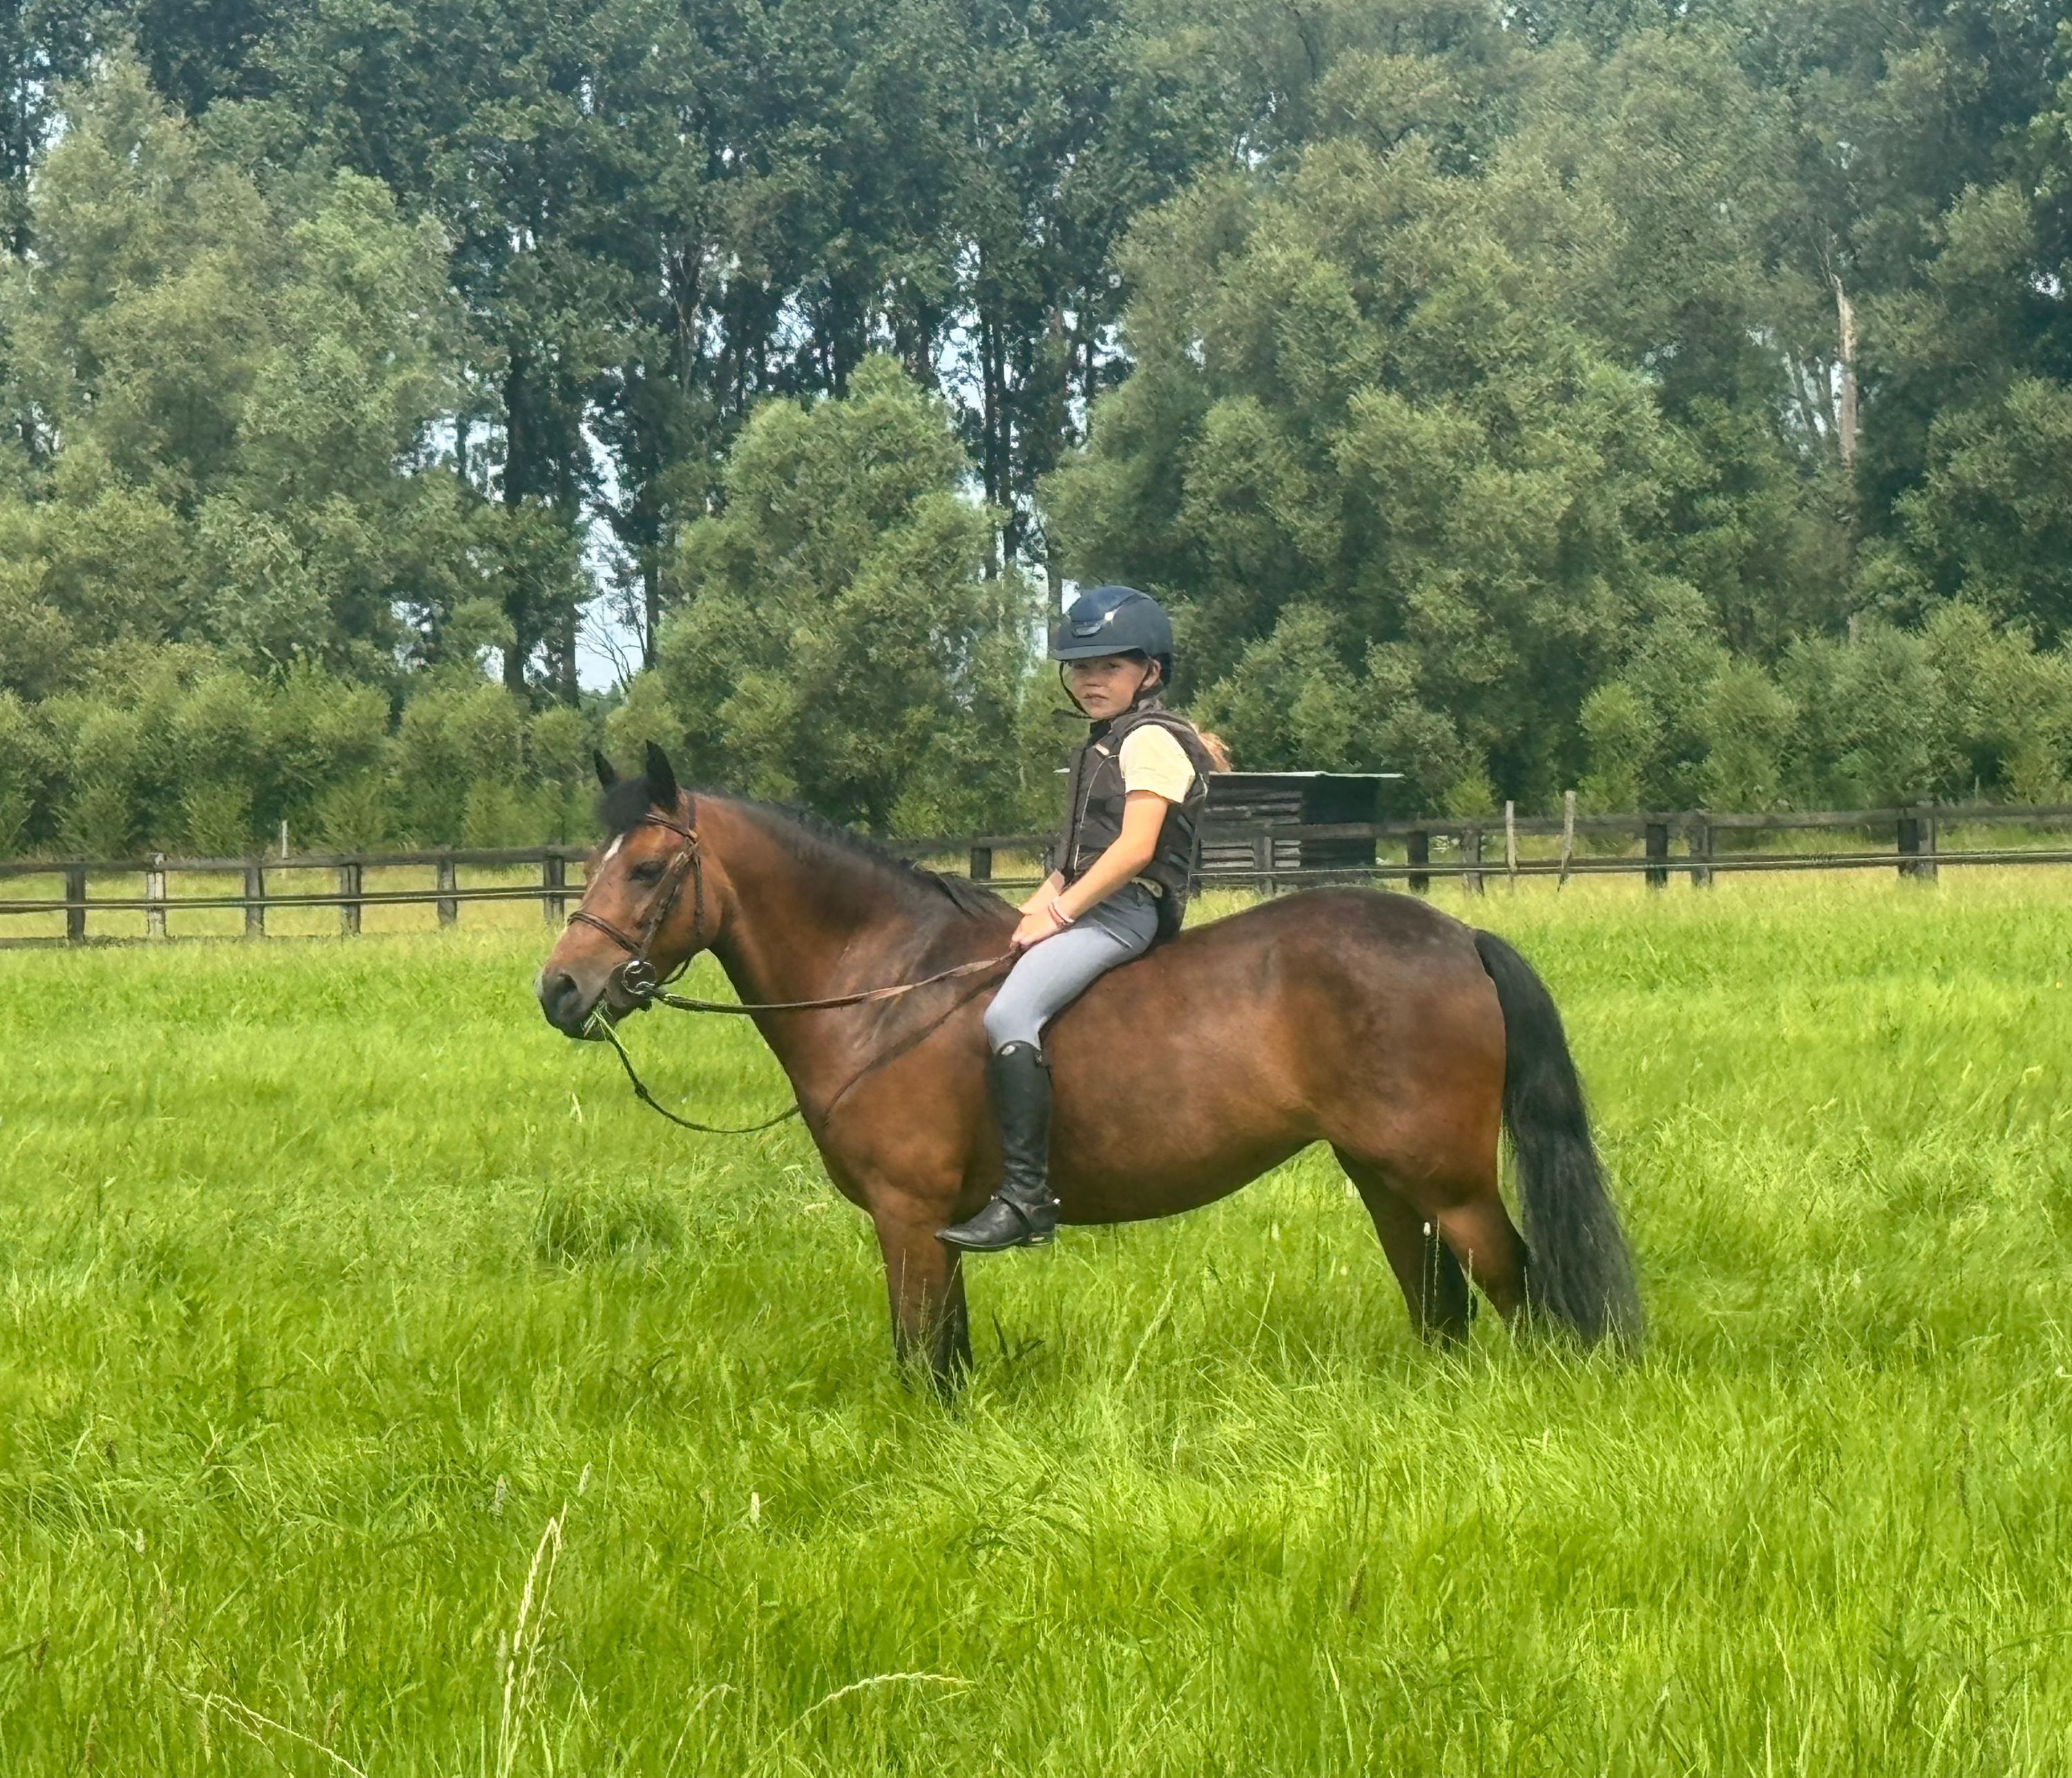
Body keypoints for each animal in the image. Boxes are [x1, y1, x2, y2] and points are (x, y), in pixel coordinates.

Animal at [535, 745, 1641, 1386]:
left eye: (646, 868)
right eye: (590, 863)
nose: (559, 990)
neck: (887, 983)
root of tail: (1458, 935)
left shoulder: (908, 1215)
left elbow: (922, 1360)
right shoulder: (934, 1227)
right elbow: (952, 1355)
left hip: (1447, 1177)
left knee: (1514, 1280)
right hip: (1382, 1174)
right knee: (1436, 1296)